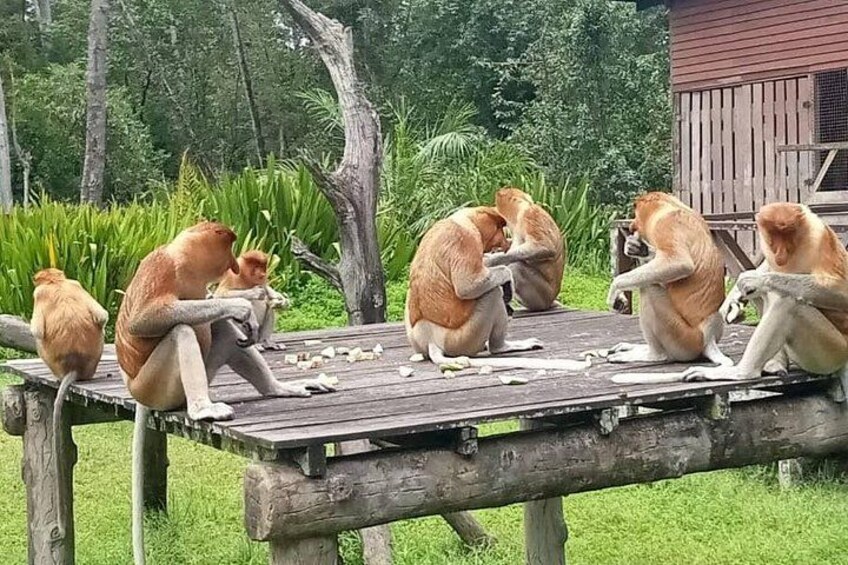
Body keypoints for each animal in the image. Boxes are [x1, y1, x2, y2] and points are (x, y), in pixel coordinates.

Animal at [30, 268, 108, 540]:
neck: (56, 283)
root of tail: (74, 367)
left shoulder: (39, 294)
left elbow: (37, 330)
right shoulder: (76, 284)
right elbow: (102, 316)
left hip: (48, 357)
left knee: (39, 338)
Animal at [115, 221, 334, 565]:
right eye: (229, 250)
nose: (233, 265)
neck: (183, 265)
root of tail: (136, 392)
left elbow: (217, 315)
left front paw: (252, 316)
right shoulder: (161, 267)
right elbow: (143, 320)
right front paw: (241, 307)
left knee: (223, 331)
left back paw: (278, 387)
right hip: (154, 386)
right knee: (182, 329)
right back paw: (203, 408)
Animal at [405, 206, 590, 371]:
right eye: (499, 228)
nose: (504, 241)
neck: (463, 220)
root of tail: (431, 340)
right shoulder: (466, 239)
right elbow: (467, 286)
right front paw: (506, 279)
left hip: (417, 338)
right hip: (461, 339)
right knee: (492, 295)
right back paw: (501, 345)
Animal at [588, 192, 732, 369]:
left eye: (636, 213)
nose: (632, 226)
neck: (670, 206)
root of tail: (709, 339)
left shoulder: (667, 224)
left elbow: (679, 263)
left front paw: (615, 291)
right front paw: (636, 248)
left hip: (682, 338)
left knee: (650, 287)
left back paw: (651, 355)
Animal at [612, 202, 848, 386]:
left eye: (787, 236)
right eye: (773, 238)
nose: (780, 253)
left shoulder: (819, 238)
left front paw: (753, 280)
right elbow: (762, 271)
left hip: (830, 351)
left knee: (787, 301)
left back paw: (740, 372)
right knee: (766, 296)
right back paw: (774, 364)